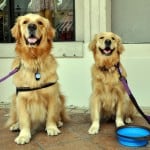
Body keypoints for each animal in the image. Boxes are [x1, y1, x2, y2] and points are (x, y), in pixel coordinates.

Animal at [5, 13, 68, 144]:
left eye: (40, 22)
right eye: (25, 22)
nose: (32, 26)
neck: (35, 62)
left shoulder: (52, 95)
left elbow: (51, 115)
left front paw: (51, 128)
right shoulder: (21, 98)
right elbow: (24, 119)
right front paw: (23, 135)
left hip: (60, 98)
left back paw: (58, 122)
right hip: (14, 99)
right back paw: (16, 125)